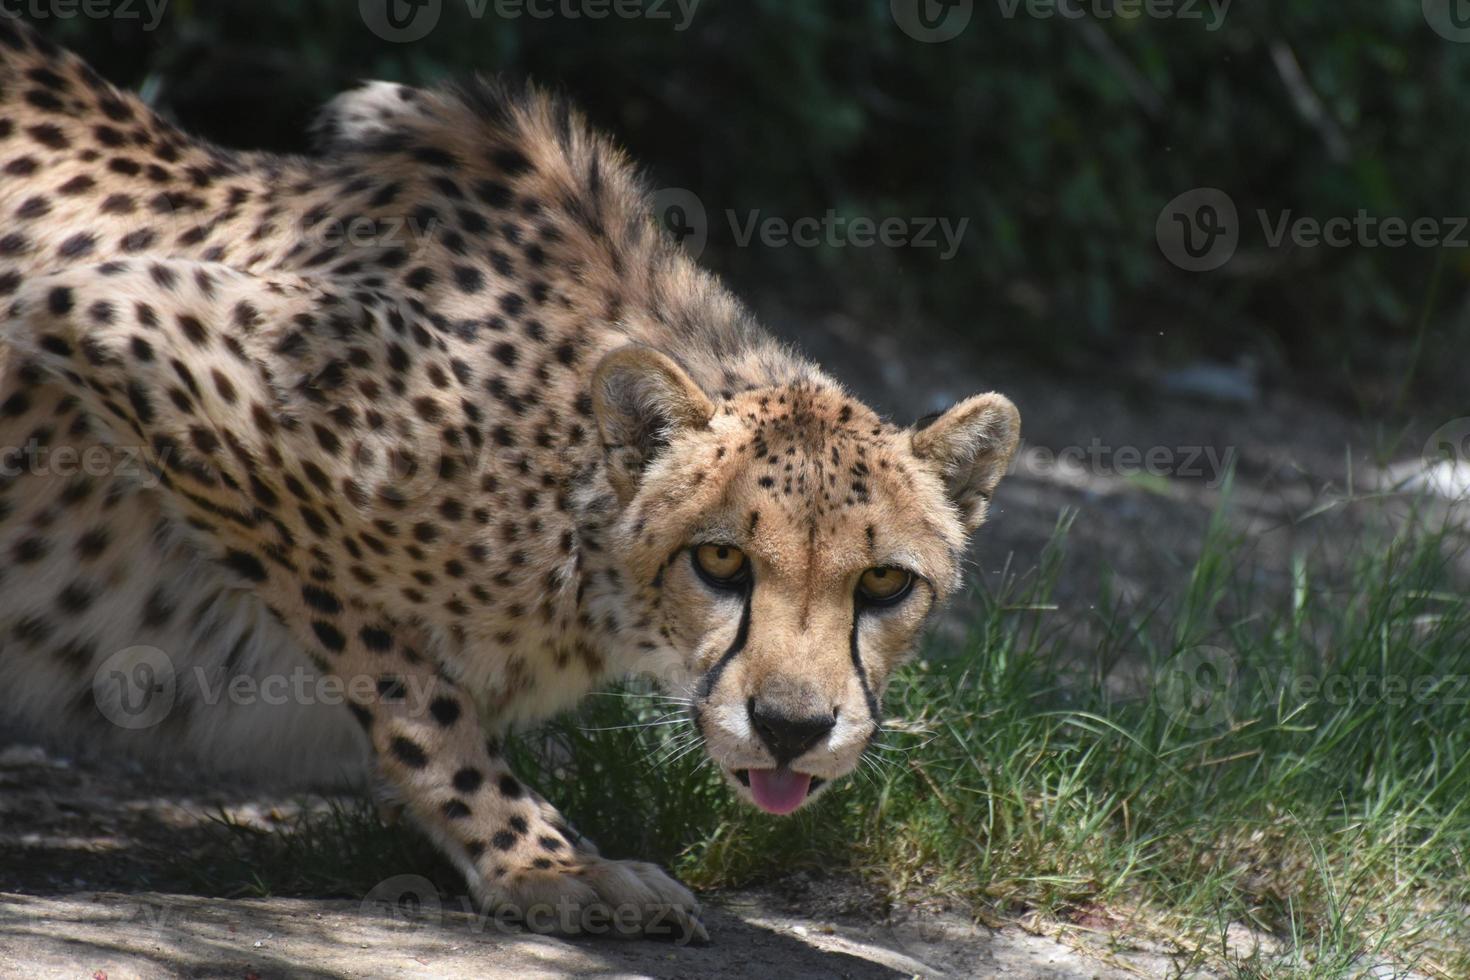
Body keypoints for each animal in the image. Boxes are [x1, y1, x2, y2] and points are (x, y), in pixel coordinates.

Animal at [0, 19, 1017, 940]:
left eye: (884, 582)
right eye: (721, 561)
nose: (792, 728)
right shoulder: (115, 318)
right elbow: (410, 684)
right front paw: (542, 862)